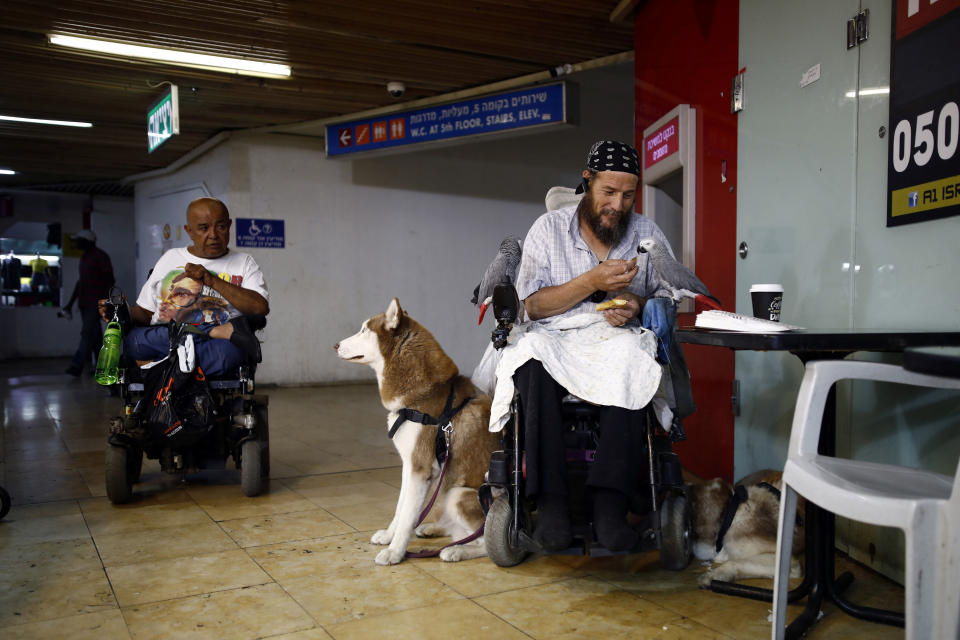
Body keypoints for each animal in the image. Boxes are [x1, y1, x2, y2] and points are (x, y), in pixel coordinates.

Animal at [334, 300, 496, 564]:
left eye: (364, 330)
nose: (335, 345)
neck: (423, 397)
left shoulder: (420, 469)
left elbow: (407, 516)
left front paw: (395, 552)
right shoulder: (408, 467)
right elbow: (401, 509)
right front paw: (389, 537)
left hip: (458, 494)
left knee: (483, 540)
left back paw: (457, 550)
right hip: (447, 493)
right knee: (460, 532)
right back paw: (435, 529)